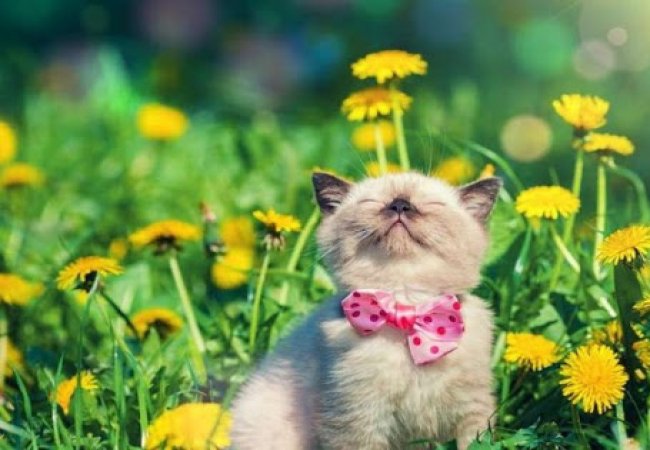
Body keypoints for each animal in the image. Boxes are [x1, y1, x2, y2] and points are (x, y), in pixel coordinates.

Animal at [230, 171, 501, 450]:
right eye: (371, 202)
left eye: (433, 205)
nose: (400, 205)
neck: (405, 306)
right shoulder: (359, 420)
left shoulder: (471, 411)